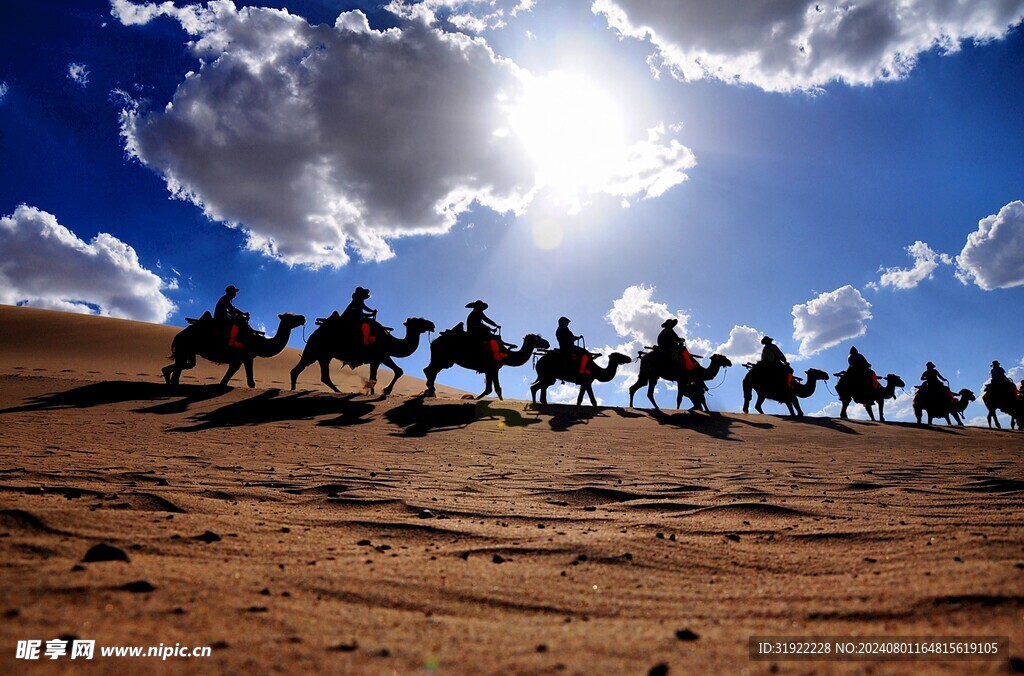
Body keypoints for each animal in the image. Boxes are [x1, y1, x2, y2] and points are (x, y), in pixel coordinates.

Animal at [162, 311, 303, 385]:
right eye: (291, 316)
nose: (303, 318)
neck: (258, 342)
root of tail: (178, 336)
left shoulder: (247, 358)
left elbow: (250, 381)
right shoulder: (240, 358)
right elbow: (229, 378)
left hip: (188, 351)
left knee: (185, 365)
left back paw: (168, 379)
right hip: (185, 347)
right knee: (182, 366)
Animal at [290, 317, 434, 395]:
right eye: (420, 320)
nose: (432, 324)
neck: (389, 342)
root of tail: (313, 334)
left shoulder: (378, 359)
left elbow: (376, 378)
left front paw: (377, 392)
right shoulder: (380, 356)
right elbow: (393, 372)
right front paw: (385, 391)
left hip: (324, 356)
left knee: (322, 376)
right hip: (314, 351)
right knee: (297, 370)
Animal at [423, 331, 552, 399]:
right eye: (537, 338)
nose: (547, 343)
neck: (506, 354)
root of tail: (433, 341)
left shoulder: (489, 369)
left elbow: (491, 389)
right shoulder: (493, 368)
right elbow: (495, 389)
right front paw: (474, 399)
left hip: (442, 359)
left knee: (428, 370)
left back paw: (431, 392)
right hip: (443, 359)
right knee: (430, 371)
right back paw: (432, 392)